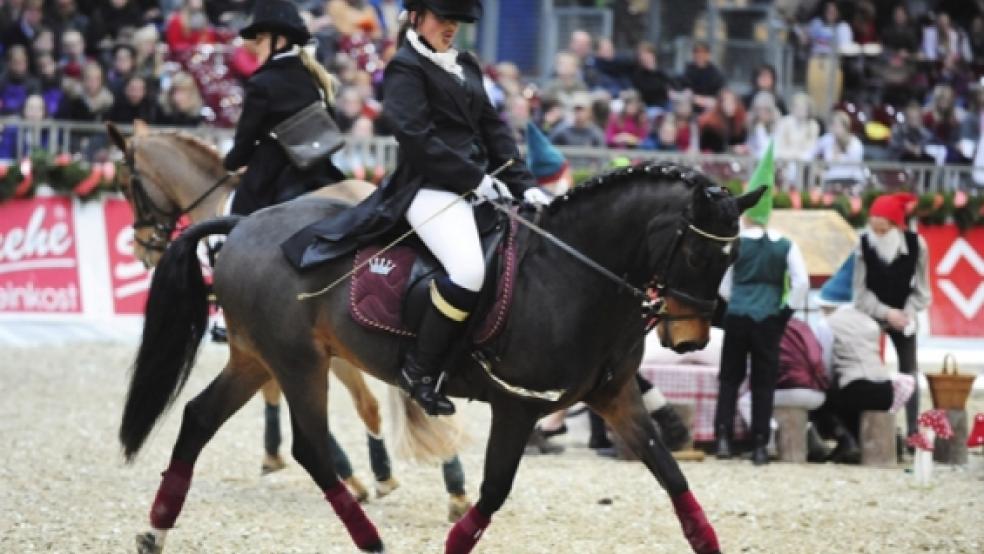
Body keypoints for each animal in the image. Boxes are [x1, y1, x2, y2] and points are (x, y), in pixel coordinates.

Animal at [105, 121, 470, 516]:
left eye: (126, 186)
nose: (142, 250)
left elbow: (286, 394)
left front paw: (328, 469)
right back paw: (451, 485)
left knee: (370, 403)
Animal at [117, 161, 760, 552]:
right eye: (698, 256)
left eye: (731, 259)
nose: (690, 340)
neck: (572, 273)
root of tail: (244, 224)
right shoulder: (518, 407)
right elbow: (494, 491)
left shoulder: (615, 397)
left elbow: (670, 473)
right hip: (300, 363)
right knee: (310, 449)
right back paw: (370, 538)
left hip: (256, 358)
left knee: (198, 419)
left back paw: (154, 530)